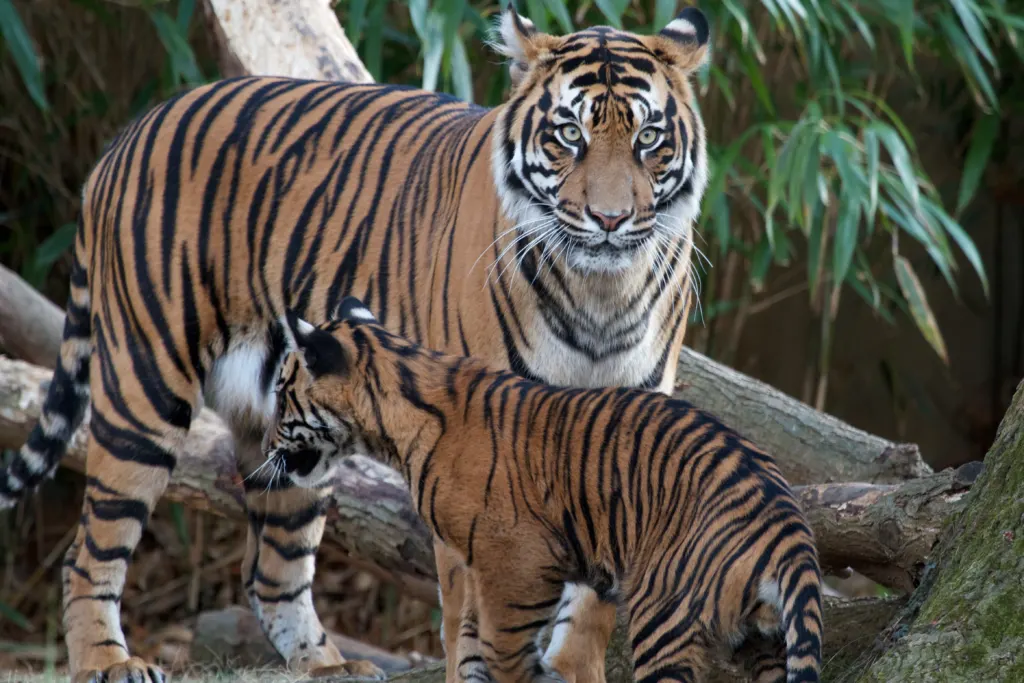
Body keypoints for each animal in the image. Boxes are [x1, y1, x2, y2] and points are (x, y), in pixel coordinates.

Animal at [0, 6, 712, 683]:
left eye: (648, 138)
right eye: (570, 135)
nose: (611, 220)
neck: (602, 295)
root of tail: (128, 134)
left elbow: (590, 604)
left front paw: (573, 669)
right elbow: (471, 600)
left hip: (293, 441)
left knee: (272, 571)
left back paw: (329, 667)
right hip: (145, 392)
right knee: (88, 551)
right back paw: (108, 662)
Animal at [264, 297, 824, 683]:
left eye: (281, 393)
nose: (266, 445)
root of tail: (786, 525)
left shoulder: (516, 568)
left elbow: (498, 650)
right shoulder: (477, 564)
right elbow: (470, 643)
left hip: (665, 616)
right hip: (764, 643)